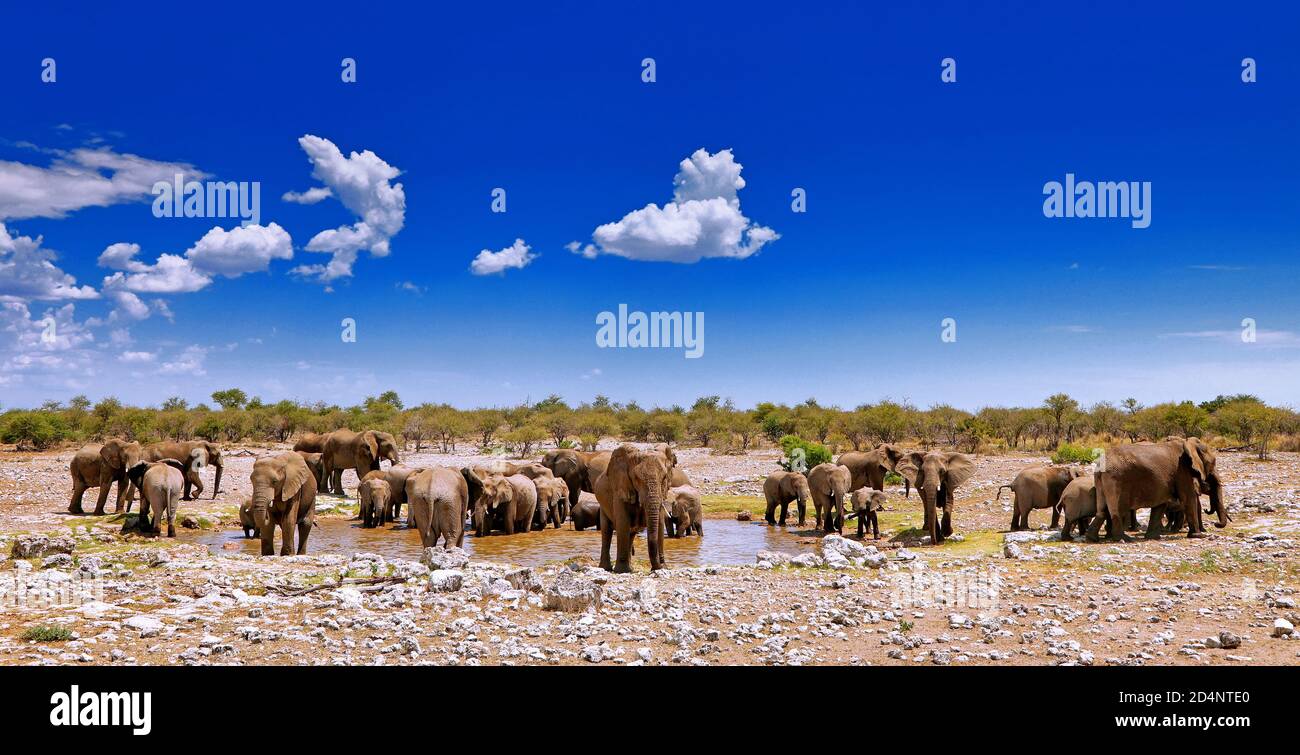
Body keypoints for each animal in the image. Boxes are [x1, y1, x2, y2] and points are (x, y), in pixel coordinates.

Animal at [598, 441, 681, 571]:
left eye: (664, 477)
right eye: (636, 478)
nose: (655, 568)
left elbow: (660, 524)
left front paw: (663, 568)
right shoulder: (620, 489)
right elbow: (622, 522)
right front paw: (622, 571)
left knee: (631, 534)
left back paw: (630, 568)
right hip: (603, 506)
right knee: (607, 532)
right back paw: (606, 568)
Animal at [1086, 436, 1227, 540]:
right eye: (1213, 463)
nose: (1217, 524)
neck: (1188, 443)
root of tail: (1100, 463)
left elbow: (1160, 504)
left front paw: (1153, 537)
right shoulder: (1182, 470)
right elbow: (1189, 498)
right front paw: (1198, 536)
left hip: (1102, 480)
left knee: (1102, 509)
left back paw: (1092, 538)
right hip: (1115, 479)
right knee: (1116, 509)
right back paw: (1123, 538)